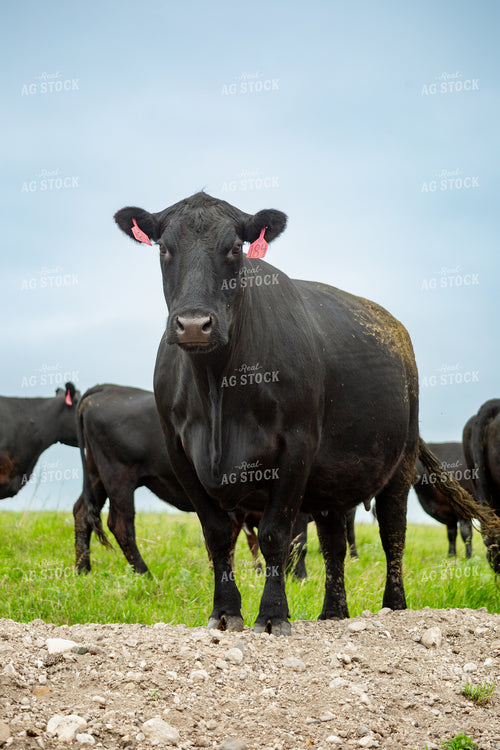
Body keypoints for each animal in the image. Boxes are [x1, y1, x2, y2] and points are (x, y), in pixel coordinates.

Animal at [74, 383, 306, 576]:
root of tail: (107, 388)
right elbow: (296, 542)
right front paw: (297, 577)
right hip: (118, 475)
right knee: (120, 522)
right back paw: (144, 573)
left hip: (97, 476)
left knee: (82, 512)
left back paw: (83, 569)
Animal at [114, 191, 495, 634]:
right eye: (164, 248)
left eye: (234, 248)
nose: (194, 324)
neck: (217, 390)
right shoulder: (180, 454)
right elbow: (218, 535)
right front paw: (225, 612)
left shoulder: (296, 446)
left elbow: (277, 535)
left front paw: (272, 614)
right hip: (334, 473)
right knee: (334, 541)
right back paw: (333, 611)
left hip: (400, 460)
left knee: (393, 531)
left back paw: (394, 607)